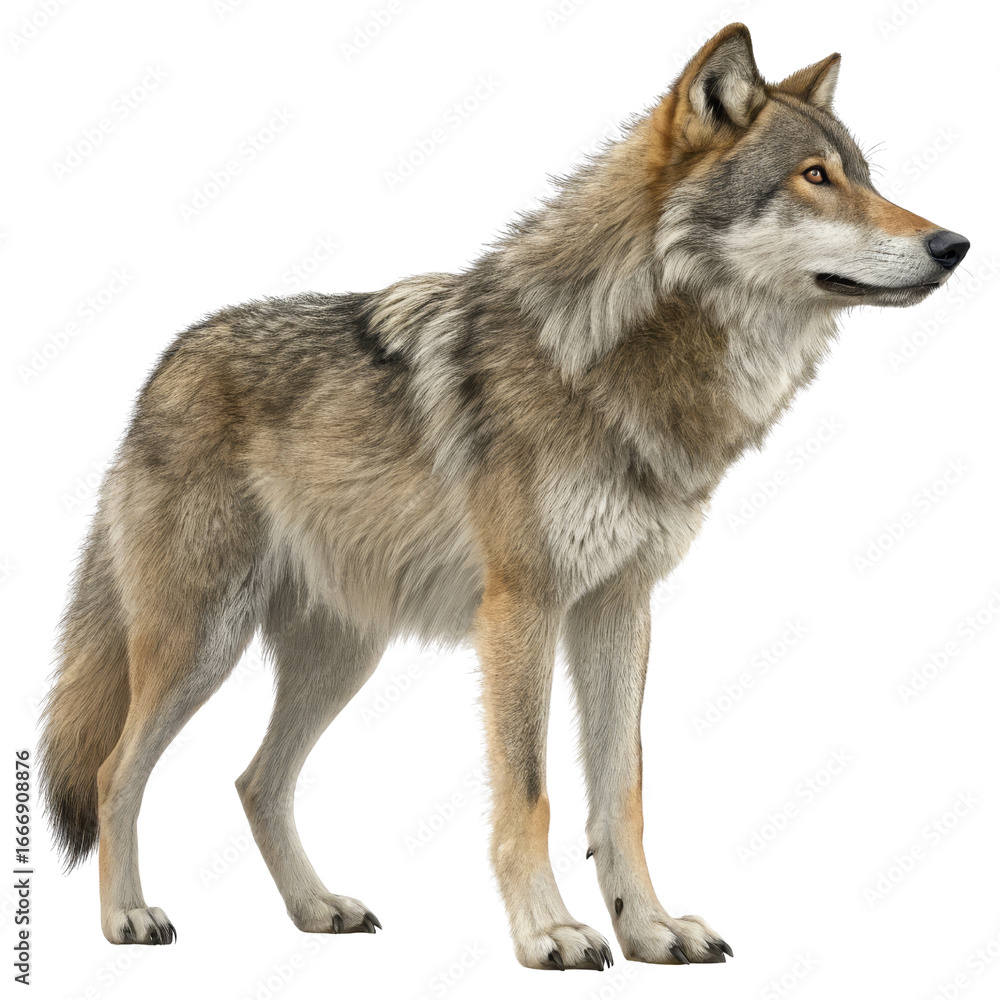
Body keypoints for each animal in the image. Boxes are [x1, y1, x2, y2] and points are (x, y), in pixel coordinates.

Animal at [40, 23, 969, 970]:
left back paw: (317, 909)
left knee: (256, 781)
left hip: (342, 656)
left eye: (866, 176)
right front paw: (549, 932)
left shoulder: (618, 607)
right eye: (815, 177)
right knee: (117, 771)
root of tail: (164, 366)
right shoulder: (522, 609)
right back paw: (128, 918)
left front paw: (650, 928)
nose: (954, 245)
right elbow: (530, 793)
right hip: (203, 641)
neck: (613, 365)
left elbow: (622, 793)